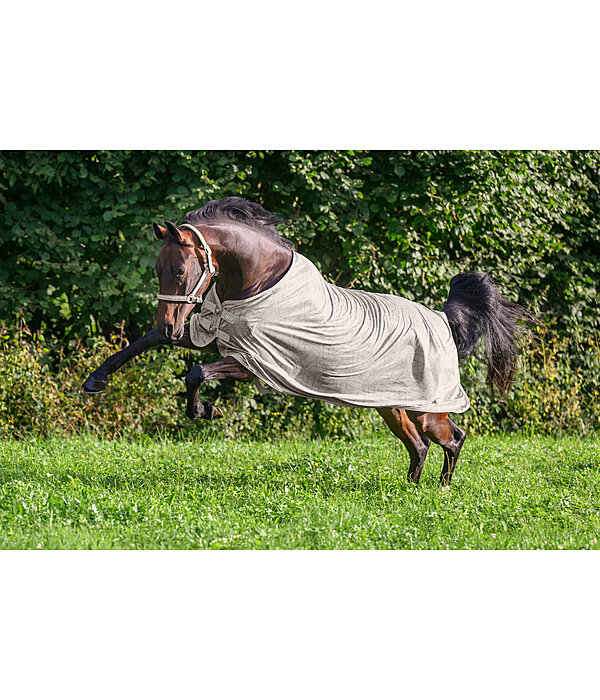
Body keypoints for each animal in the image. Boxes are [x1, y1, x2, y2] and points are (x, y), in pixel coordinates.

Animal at [82, 197, 534, 486]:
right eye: (157, 269)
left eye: (178, 270)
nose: (172, 325)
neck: (258, 284)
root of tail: (442, 319)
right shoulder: (220, 339)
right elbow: (145, 342)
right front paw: (95, 381)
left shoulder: (254, 362)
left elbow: (196, 374)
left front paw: (204, 411)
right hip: (396, 407)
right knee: (424, 445)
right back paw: (413, 489)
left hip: (423, 410)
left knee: (449, 439)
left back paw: (438, 490)